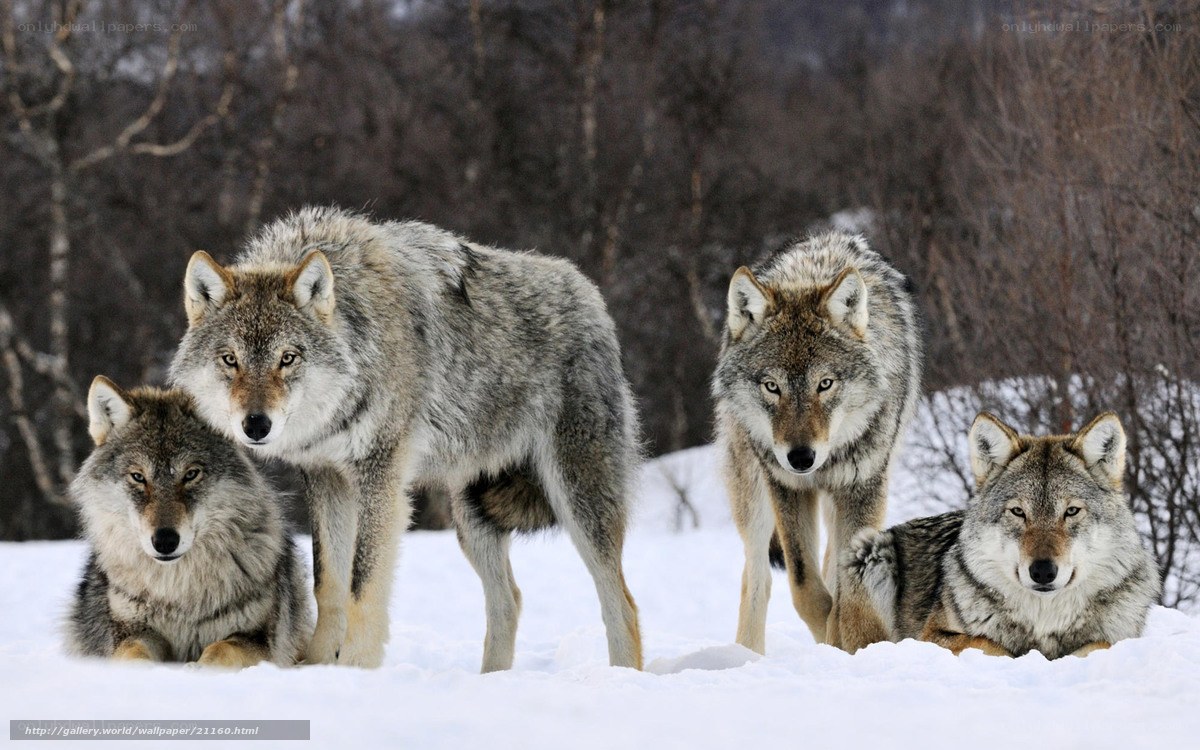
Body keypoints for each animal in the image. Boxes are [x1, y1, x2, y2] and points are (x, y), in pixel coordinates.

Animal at [66, 377, 311, 667]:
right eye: (138, 477)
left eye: (191, 474)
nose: (165, 541)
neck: (179, 593)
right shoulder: (131, 632)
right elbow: (133, 653)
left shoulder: (257, 639)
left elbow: (221, 649)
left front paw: (198, 670)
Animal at [169, 206, 642, 671]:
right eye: (230, 359)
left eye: (288, 358)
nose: (256, 425)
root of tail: (589, 293)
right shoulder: (326, 478)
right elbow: (329, 583)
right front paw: (318, 666)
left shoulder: (381, 477)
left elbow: (362, 585)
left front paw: (355, 668)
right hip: (472, 518)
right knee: (509, 599)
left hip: (577, 501)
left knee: (622, 603)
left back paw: (622, 676)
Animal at [712, 232, 922, 653]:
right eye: (771, 386)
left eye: (825, 384)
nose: (800, 457)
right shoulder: (787, 487)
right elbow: (805, 586)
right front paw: (830, 635)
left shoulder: (863, 487)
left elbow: (846, 588)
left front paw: (847, 641)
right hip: (753, 494)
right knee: (756, 576)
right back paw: (746, 656)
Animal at [848, 412, 1161, 658]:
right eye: (1018, 512)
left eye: (1071, 511)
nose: (1043, 571)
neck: (1044, 620)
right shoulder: (931, 636)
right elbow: (988, 643)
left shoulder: (1119, 637)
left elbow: (1100, 644)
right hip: (872, 552)